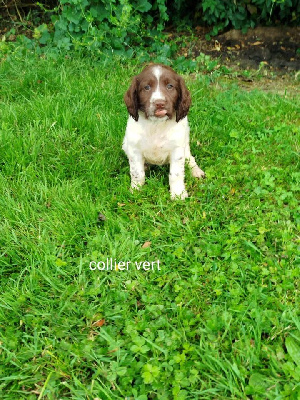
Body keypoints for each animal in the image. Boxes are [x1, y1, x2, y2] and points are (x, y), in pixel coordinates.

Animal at [122, 63, 204, 199]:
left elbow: (176, 174)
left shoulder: (177, 149)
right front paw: (136, 190)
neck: (157, 124)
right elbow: (137, 172)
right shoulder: (134, 148)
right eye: (147, 87)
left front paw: (178, 194)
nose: (159, 103)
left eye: (170, 86)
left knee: (190, 158)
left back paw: (196, 171)